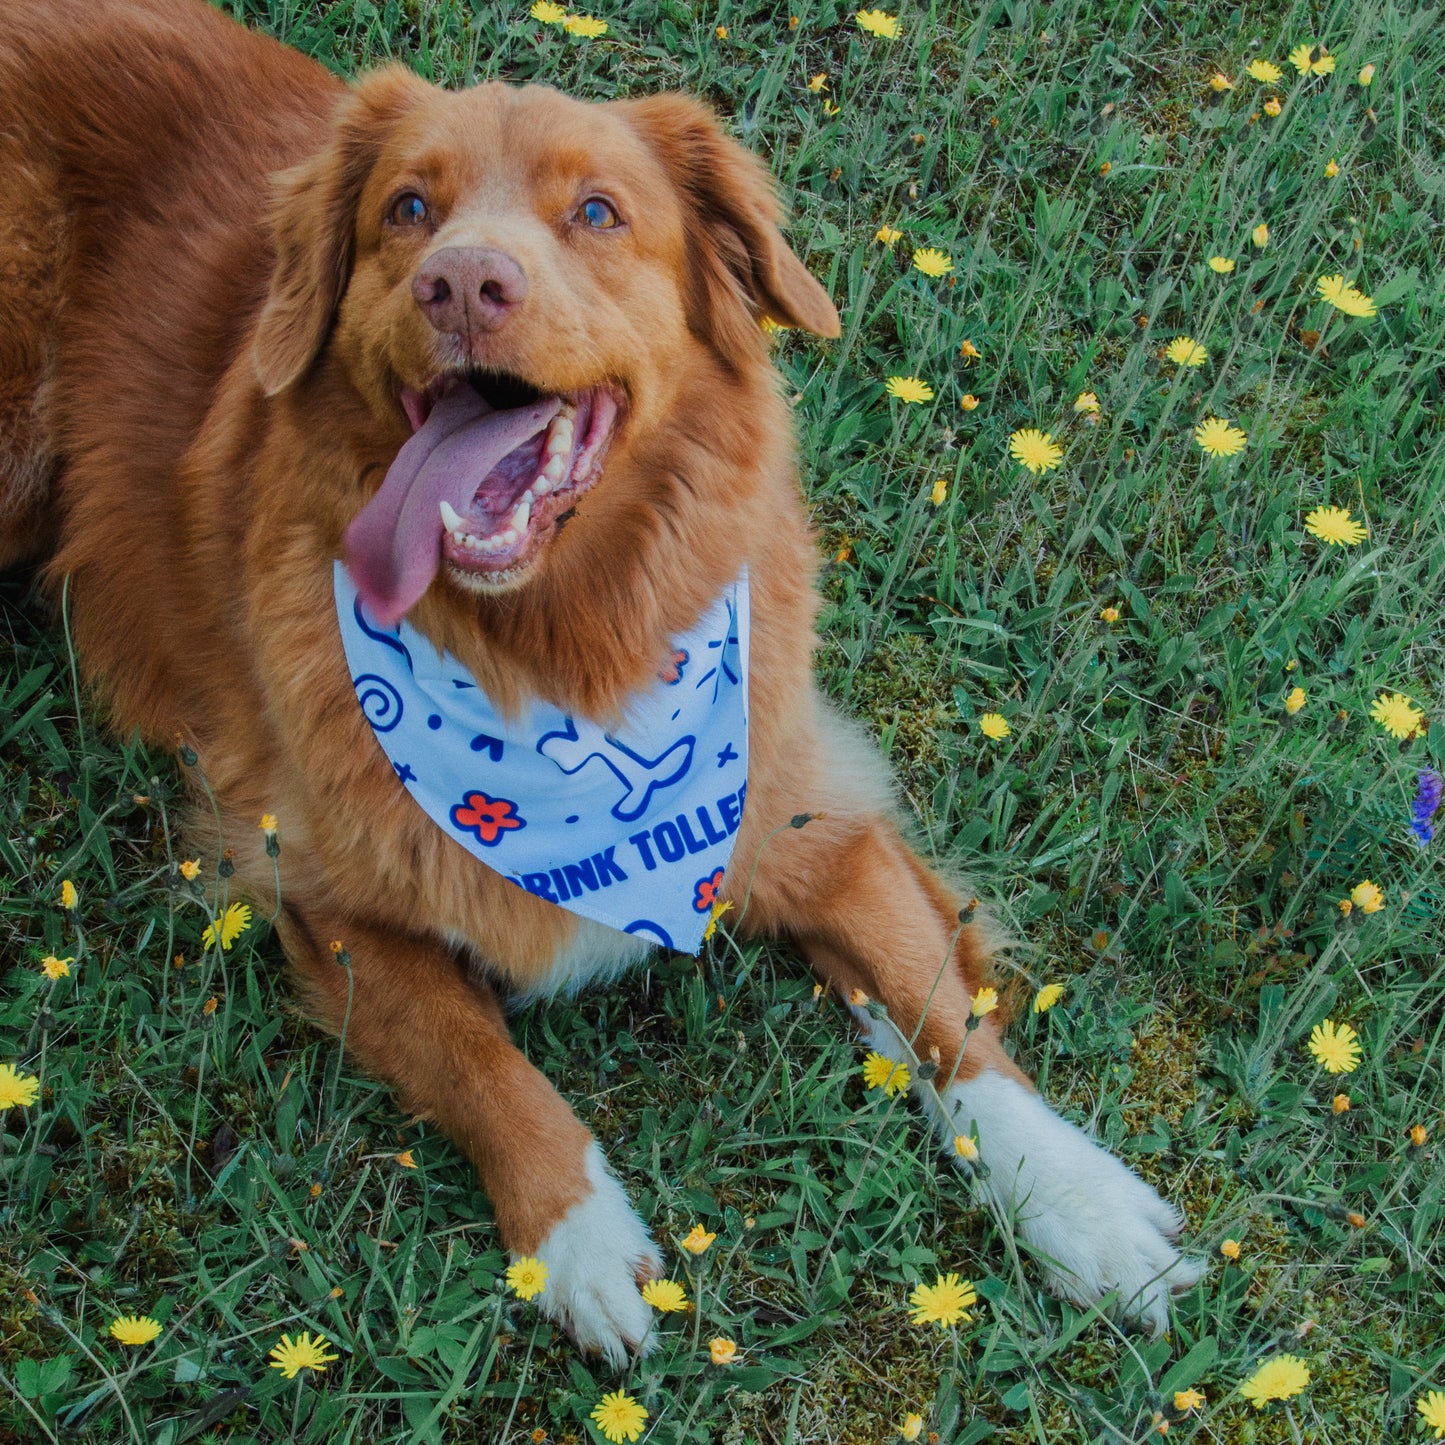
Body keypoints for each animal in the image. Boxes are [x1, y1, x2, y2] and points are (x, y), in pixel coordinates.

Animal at [0, 0, 1196, 1364]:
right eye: (407, 208)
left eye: (597, 212)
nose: (462, 281)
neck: (564, 645)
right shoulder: (321, 888)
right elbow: (484, 1060)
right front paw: (574, 1236)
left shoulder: (808, 805)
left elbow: (946, 1009)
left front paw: (1079, 1196)